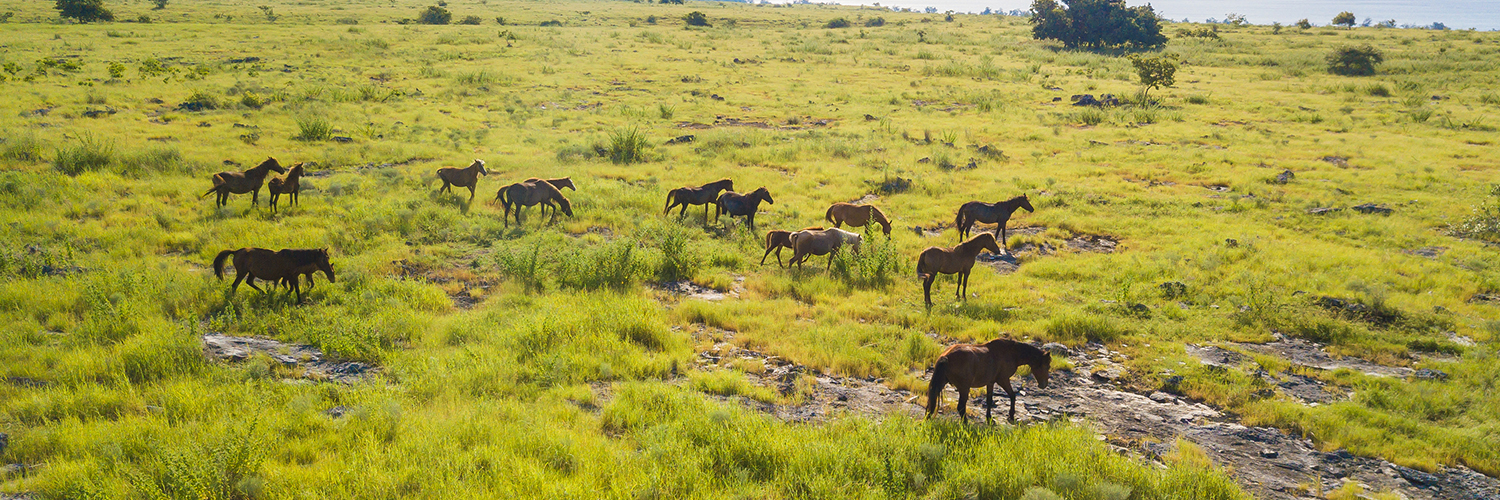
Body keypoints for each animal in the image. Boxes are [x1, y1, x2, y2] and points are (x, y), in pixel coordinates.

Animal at [924, 336, 1056, 423]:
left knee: (931, 402)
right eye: (1047, 365)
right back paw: (966, 424)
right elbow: (1012, 395)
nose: (1044, 384)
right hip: (964, 388)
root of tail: (946, 356)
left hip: (941, 383)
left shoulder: (990, 382)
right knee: (961, 407)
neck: (1011, 353)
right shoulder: (1003, 380)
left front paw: (989, 418)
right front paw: (1011, 415)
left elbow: (989, 400)